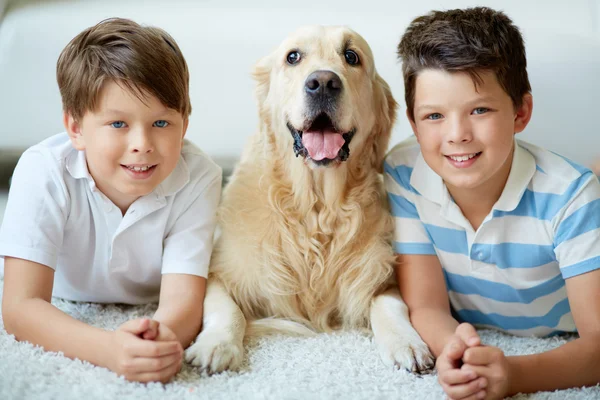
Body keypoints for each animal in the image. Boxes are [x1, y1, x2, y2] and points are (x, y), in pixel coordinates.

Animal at [185, 26, 434, 374]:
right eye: (293, 57)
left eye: (352, 56)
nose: (323, 83)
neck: (315, 209)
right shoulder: (220, 270)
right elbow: (225, 308)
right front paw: (216, 344)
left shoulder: (383, 273)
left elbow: (389, 303)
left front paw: (406, 342)